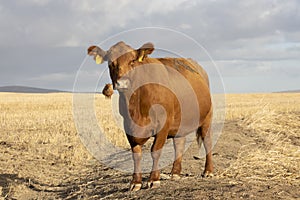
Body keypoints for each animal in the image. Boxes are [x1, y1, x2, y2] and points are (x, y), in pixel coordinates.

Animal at [86, 41, 213, 191]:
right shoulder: (128, 126)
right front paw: (135, 182)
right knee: (179, 144)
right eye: (111, 63)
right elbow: (136, 154)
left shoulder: (163, 124)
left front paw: (154, 179)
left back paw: (208, 171)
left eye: (133, 61)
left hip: (206, 118)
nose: (122, 83)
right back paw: (175, 173)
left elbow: (155, 151)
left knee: (207, 142)